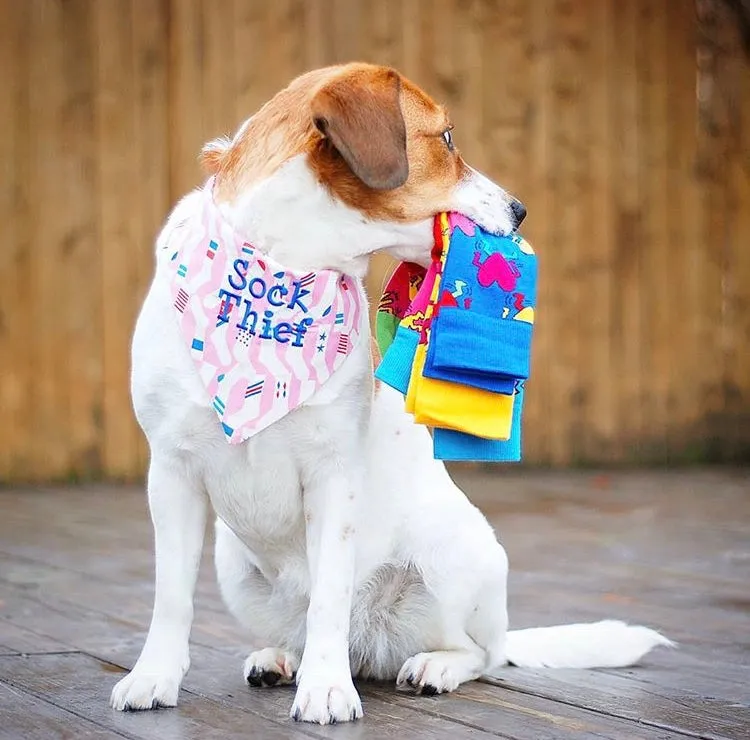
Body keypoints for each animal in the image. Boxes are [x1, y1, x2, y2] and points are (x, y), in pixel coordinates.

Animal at [108, 62, 672, 724]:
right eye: (446, 138)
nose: (521, 209)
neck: (281, 272)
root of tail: (369, 646)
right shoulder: (170, 471)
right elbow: (171, 597)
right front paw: (154, 677)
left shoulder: (332, 475)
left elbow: (329, 593)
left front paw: (327, 689)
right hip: (233, 565)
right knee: (305, 629)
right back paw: (282, 658)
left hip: (454, 554)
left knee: (479, 653)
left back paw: (430, 667)